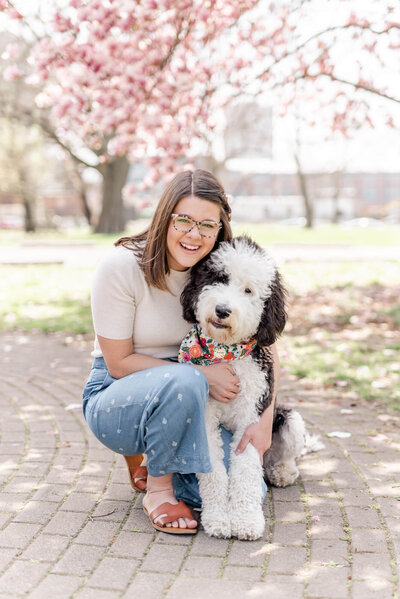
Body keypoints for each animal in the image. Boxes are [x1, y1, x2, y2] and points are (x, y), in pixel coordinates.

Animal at [178, 237, 322, 540]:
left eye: (248, 290)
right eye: (219, 278)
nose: (222, 310)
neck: (226, 352)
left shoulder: (252, 418)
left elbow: (245, 471)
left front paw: (245, 520)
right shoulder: (204, 420)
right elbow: (213, 472)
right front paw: (218, 518)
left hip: (288, 419)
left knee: (283, 460)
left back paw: (282, 472)